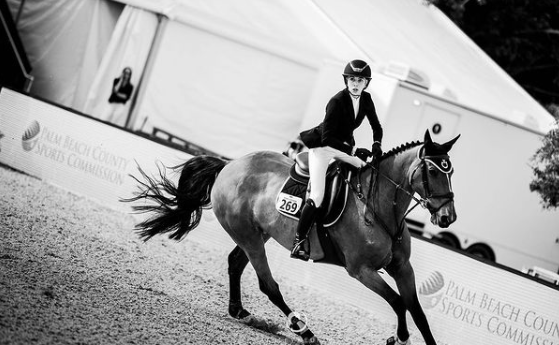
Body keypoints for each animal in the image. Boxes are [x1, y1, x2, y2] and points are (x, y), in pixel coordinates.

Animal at [124, 130, 462, 344]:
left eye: (451, 172)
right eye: (433, 172)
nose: (447, 218)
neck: (378, 208)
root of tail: (229, 165)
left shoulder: (402, 267)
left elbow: (417, 312)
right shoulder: (361, 271)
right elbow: (398, 303)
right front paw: (398, 338)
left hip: (256, 234)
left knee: (235, 263)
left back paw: (240, 312)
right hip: (249, 237)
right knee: (267, 285)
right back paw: (304, 331)